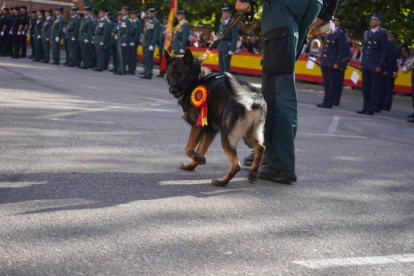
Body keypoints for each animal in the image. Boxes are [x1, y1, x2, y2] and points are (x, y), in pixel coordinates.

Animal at [163, 49, 266, 188]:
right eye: (171, 74)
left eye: (182, 74)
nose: (172, 90)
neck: (198, 80)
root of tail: (253, 96)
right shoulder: (210, 131)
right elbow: (201, 149)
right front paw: (192, 164)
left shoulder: (198, 127)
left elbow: (188, 149)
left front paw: (197, 159)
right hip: (248, 136)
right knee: (260, 147)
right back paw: (253, 172)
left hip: (227, 137)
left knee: (236, 165)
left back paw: (222, 182)